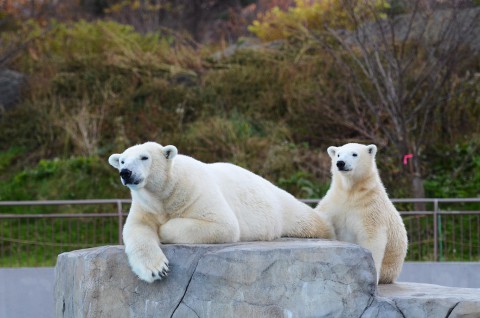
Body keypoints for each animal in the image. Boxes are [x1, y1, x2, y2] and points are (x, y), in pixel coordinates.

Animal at [109, 142, 334, 284]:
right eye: (122, 161)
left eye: (144, 157)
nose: (126, 173)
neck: (166, 191)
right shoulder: (145, 205)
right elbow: (136, 229)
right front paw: (157, 270)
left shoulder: (196, 190)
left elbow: (222, 225)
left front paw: (163, 229)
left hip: (282, 206)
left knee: (308, 220)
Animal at [316, 143, 408, 284]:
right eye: (338, 154)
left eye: (354, 154)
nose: (340, 163)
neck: (351, 192)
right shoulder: (334, 203)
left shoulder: (370, 208)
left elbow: (372, 239)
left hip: (389, 268)